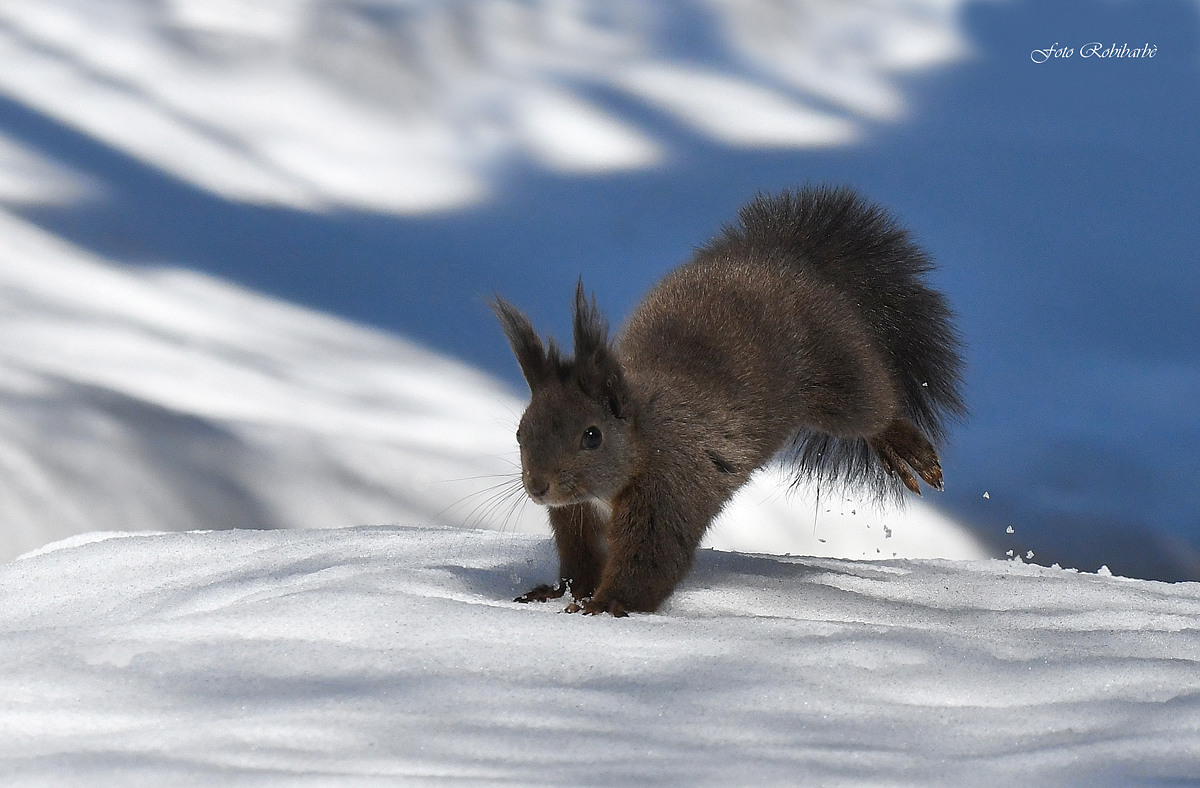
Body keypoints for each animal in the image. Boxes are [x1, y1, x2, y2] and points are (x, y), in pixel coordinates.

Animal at [491, 186, 965, 616]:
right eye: (519, 433)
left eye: (592, 436)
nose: (537, 486)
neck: (643, 436)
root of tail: (787, 258)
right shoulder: (576, 516)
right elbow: (581, 561)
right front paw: (557, 593)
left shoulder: (671, 485)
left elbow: (653, 560)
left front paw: (606, 605)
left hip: (835, 375)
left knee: (874, 408)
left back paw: (903, 448)